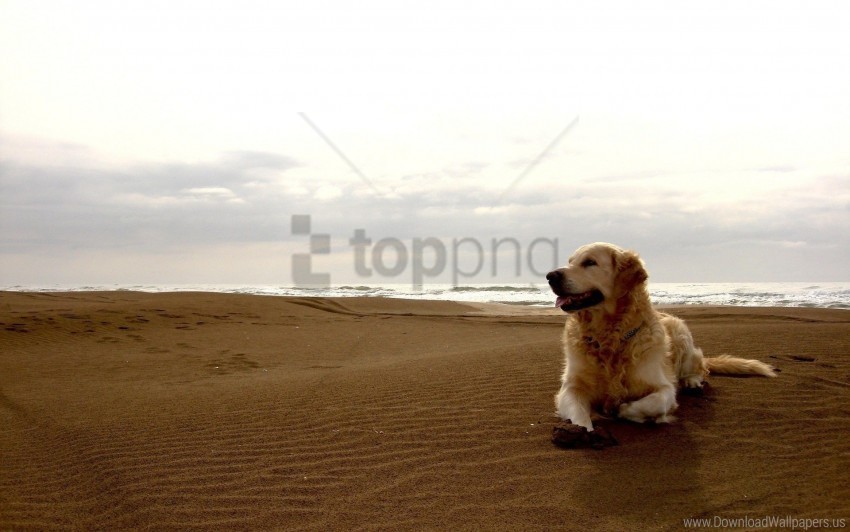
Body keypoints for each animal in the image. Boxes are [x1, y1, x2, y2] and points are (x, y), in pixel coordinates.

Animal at [544, 243, 776, 430]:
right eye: (570, 261)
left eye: (589, 262)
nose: (550, 275)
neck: (610, 337)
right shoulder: (571, 387)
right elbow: (578, 414)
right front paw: (583, 432)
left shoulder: (663, 387)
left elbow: (653, 402)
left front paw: (623, 409)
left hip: (682, 334)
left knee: (700, 367)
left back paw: (692, 381)